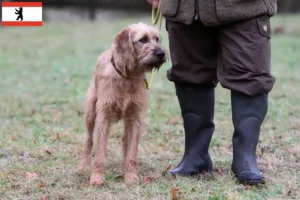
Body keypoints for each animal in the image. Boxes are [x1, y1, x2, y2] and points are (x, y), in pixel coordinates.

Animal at [77, 22, 166, 185]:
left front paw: (130, 175)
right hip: (91, 113)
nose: (161, 53)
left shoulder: (135, 117)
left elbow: (132, 150)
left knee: (125, 140)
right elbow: (100, 151)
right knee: (88, 140)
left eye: (157, 39)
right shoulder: (103, 117)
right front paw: (97, 177)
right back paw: (84, 166)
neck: (127, 77)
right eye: (143, 39)